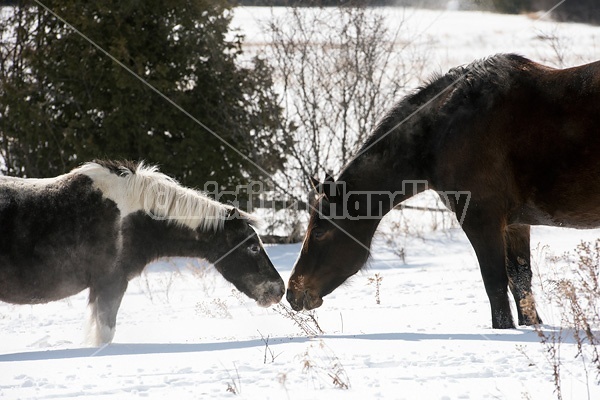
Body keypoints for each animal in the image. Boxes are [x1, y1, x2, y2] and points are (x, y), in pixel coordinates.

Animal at [284, 54, 600, 328]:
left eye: (320, 231)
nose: (292, 292)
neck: (442, 130)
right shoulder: (516, 224)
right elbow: (520, 283)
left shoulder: (481, 220)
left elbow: (496, 286)